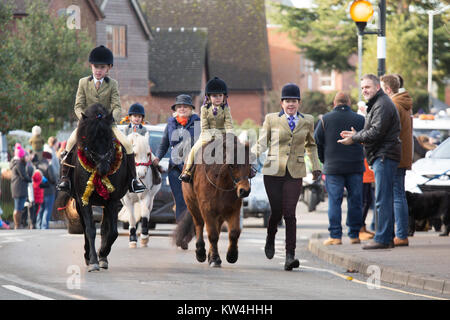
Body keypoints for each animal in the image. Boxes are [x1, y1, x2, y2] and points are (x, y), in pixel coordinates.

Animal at [60, 104, 130, 272]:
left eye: (110, 139)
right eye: (89, 140)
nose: (103, 168)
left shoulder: (112, 201)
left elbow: (112, 232)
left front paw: (102, 254)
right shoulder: (83, 201)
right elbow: (90, 230)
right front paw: (92, 260)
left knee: (105, 228)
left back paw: (102, 257)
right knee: (86, 228)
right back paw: (88, 255)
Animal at [174, 133, 251, 268]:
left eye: (249, 165)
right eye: (232, 165)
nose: (244, 191)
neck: (221, 181)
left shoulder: (233, 209)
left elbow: (234, 232)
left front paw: (231, 255)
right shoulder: (207, 209)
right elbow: (212, 234)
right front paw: (214, 259)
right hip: (193, 206)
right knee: (199, 225)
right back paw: (200, 252)